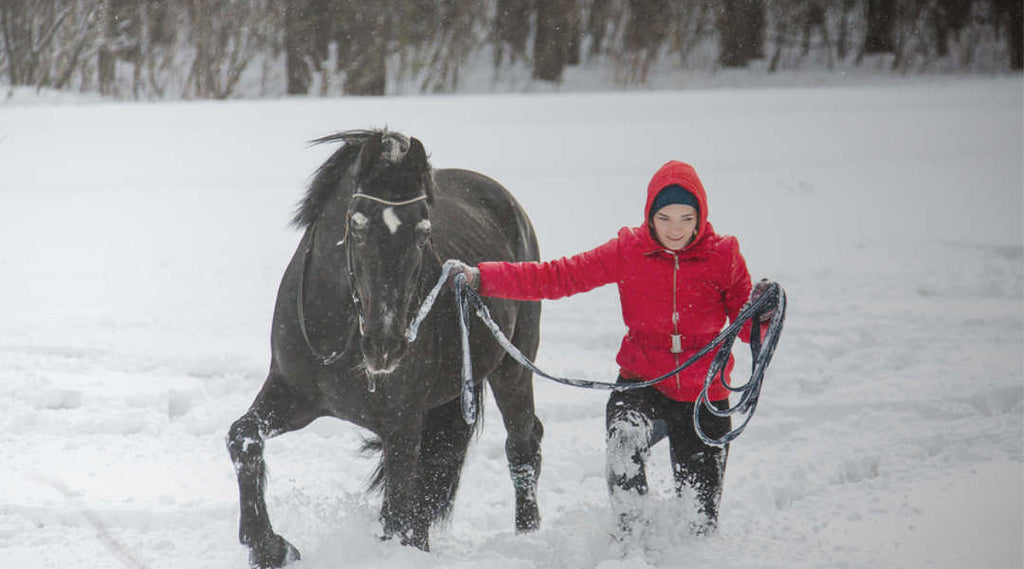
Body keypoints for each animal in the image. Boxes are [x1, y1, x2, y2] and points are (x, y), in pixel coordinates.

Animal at [224, 129, 544, 569]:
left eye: (424, 232)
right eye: (357, 227)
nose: (385, 343)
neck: (341, 336)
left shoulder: (402, 422)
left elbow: (399, 508)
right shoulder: (293, 394)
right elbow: (243, 437)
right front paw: (268, 546)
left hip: (513, 368)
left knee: (523, 446)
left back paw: (529, 537)